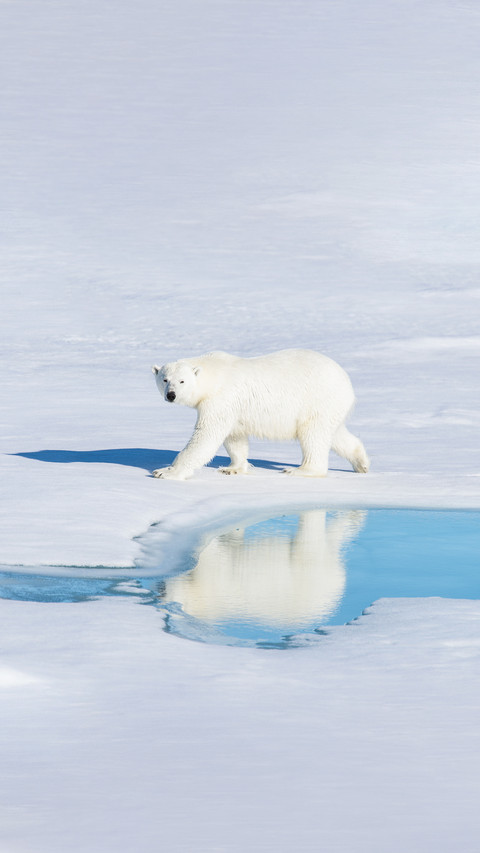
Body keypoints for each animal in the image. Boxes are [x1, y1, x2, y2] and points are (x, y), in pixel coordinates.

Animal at [151, 349, 369, 481]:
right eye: (165, 379)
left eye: (182, 381)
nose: (171, 395)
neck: (215, 374)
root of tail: (347, 381)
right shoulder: (233, 408)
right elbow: (234, 437)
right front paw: (232, 468)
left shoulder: (220, 399)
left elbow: (206, 435)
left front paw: (166, 472)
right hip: (331, 406)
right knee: (334, 433)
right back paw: (361, 463)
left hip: (316, 400)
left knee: (312, 435)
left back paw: (300, 469)